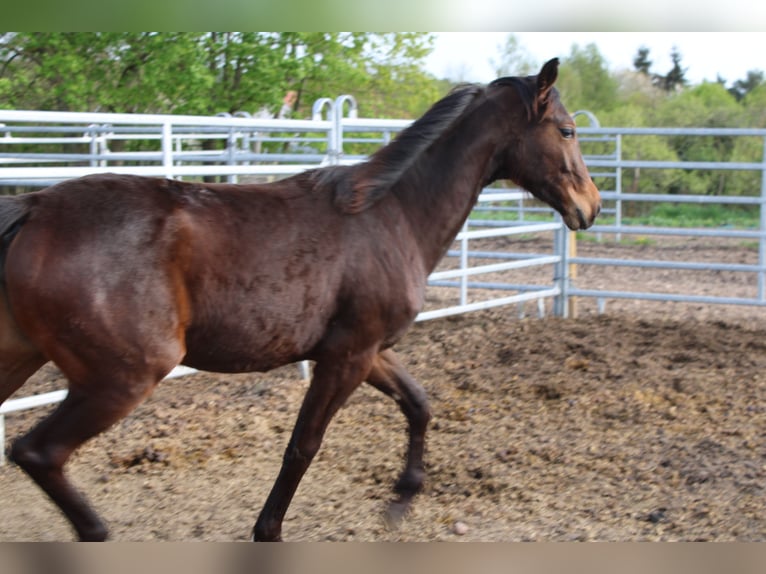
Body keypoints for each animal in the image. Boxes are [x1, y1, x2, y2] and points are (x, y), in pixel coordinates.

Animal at [0, 59, 600, 544]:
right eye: (567, 130)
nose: (590, 207)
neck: (392, 216)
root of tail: (36, 208)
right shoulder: (347, 357)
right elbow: (303, 445)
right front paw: (269, 532)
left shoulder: (367, 351)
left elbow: (419, 403)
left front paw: (401, 500)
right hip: (123, 377)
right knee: (38, 453)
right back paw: (97, 532)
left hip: (24, 358)